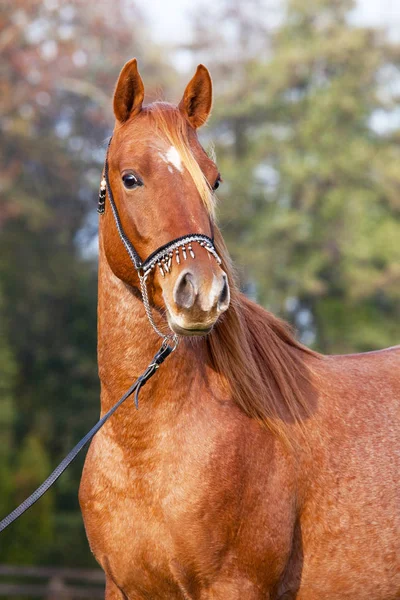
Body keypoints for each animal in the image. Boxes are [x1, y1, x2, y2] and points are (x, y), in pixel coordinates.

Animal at [79, 57, 400, 600]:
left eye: (213, 180)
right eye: (131, 178)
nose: (202, 292)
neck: (143, 448)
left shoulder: (234, 584)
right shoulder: (120, 589)